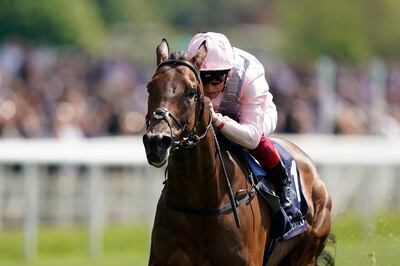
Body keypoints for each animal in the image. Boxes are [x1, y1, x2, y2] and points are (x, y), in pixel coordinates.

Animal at [142, 38, 332, 264]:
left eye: (191, 92)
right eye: (149, 87)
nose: (156, 141)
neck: (199, 203)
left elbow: (252, 135)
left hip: (307, 253)